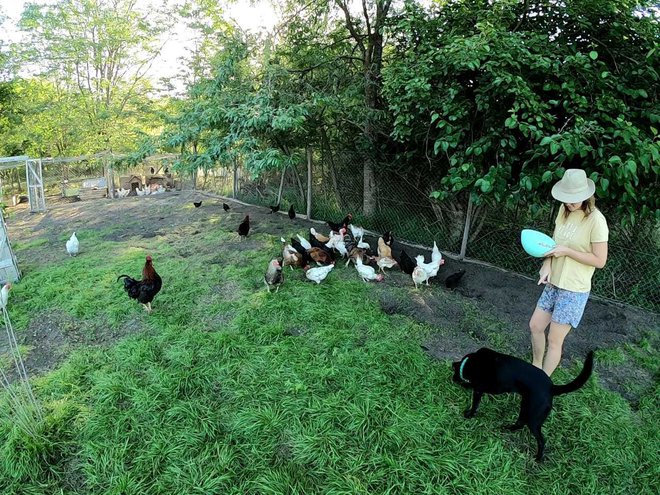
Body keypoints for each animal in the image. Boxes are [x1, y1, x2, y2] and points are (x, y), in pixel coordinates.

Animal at [454, 348, 592, 462]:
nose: (452, 379)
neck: (470, 362)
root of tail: (552, 388)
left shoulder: (478, 389)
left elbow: (474, 404)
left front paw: (469, 414)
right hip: (526, 407)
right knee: (520, 423)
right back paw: (507, 428)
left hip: (533, 418)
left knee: (541, 440)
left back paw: (538, 458)